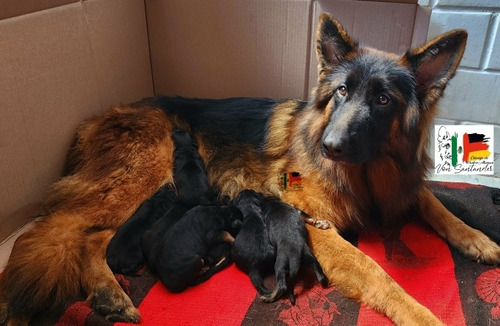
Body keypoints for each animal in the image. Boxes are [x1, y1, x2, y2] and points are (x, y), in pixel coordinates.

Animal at [0, 13, 500, 326]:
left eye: (382, 100)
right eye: (341, 91)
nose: (329, 146)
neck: (367, 175)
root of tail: (96, 119)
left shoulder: (402, 184)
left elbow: (433, 202)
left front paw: (476, 238)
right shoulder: (312, 224)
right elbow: (377, 272)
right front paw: (423, 315)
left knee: (89, 238)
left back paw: (108, 293)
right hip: (140, 180)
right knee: (53, 232)